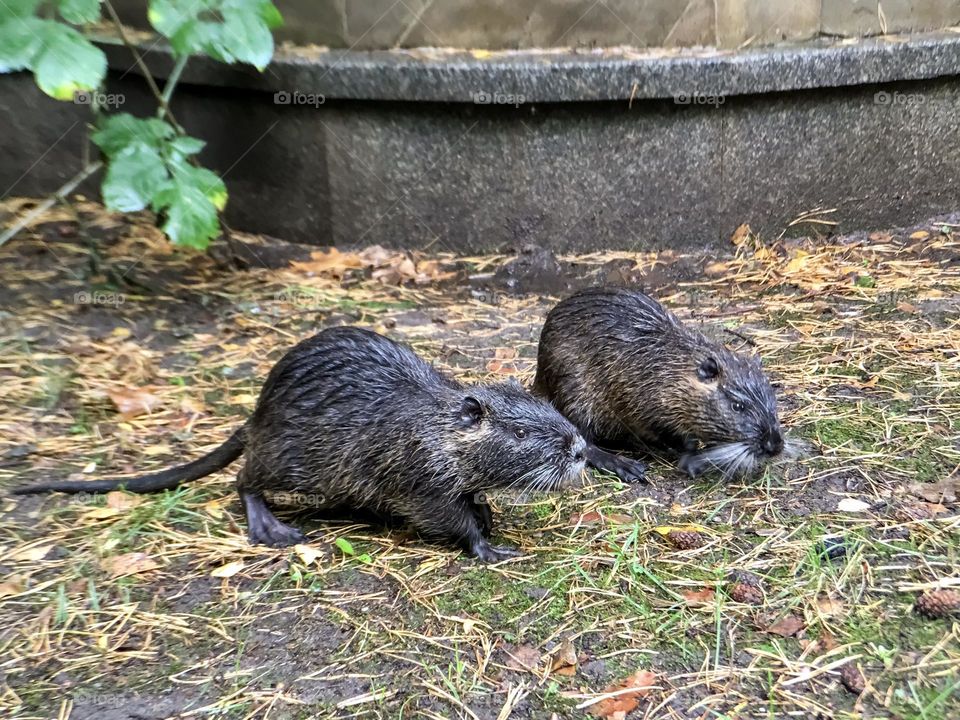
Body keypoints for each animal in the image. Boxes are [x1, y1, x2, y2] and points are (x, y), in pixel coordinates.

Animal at [14, 327, 587, 562]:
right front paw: (489, 545)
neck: (432, 421)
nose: (579, 449)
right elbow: (445, 516)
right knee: (243, 479)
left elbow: (471, 498)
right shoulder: (415, 473)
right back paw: (272, 527)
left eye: (550, 416)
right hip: (286, 457)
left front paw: (488, 513)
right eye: (519, 432)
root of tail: (255, 416)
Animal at [533, 287, 788, 481]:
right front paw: (691, 459)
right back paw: (625, 465)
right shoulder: (639, 399)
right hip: (573, 388)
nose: (775, 445)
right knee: (583, 438)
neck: (667, 365)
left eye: (772, 398)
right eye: (738, 406)